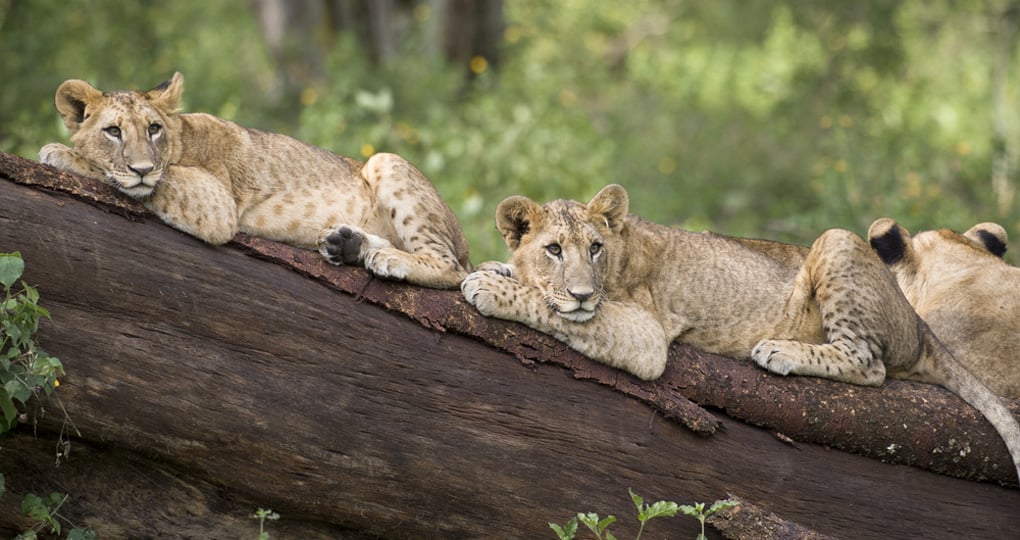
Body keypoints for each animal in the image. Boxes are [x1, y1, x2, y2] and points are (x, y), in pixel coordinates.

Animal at [38, 72, 470, 289]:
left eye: (153, 128)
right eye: (113, 131)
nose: (142, 167)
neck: (180, 138)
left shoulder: (217, 205)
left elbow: (153, 181)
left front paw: (60, 153)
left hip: (387, 161)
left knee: (453, 269)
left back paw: (386, 258)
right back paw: (347, 245)